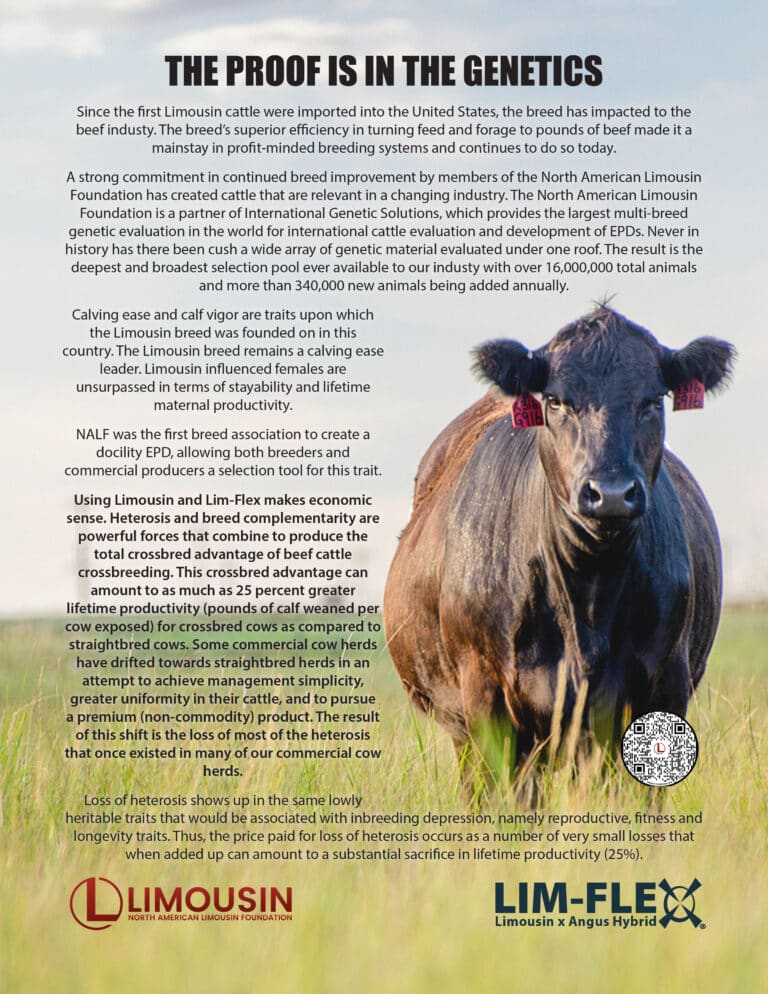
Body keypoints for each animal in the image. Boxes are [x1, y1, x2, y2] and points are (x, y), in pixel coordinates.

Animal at [383, 306, 734, 790]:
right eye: (555, 401)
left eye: (653, 400)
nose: (610, 493)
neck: (588, 594)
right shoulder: (485, 697)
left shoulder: (665, 684)